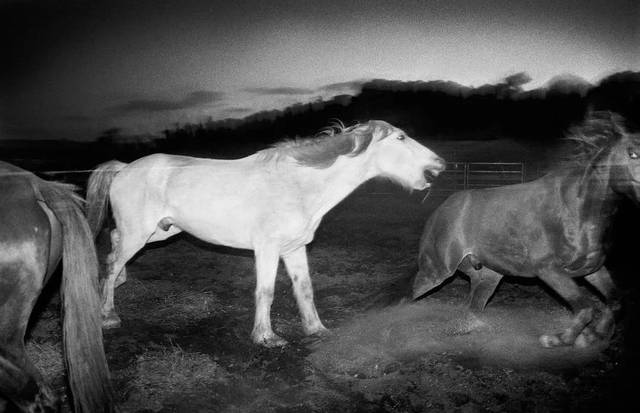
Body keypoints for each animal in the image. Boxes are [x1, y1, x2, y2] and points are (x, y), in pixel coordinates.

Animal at [86, 120, 446, 347]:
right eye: (400, 138)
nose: (439, 165)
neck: (298, 184)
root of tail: (124, 167)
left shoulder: (294, 248)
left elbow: (305, 290)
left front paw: (316, 329)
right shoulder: (267, 249)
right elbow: (266, 292)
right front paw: (266, 337)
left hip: (161, 231)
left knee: (113, 247)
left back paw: (116, 289)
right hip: (140, 233)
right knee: (112, 261)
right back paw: (107, 315)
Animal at [412, 113, 638, 348]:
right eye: (632, 153)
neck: (577, 211)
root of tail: (441, 209)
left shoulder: (592, 269)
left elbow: (615, 301)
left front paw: (595, 335)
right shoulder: (548, 270)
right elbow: (585, 308)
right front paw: (557, 339)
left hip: (487, 275)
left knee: (473, 304)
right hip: (436, 271)